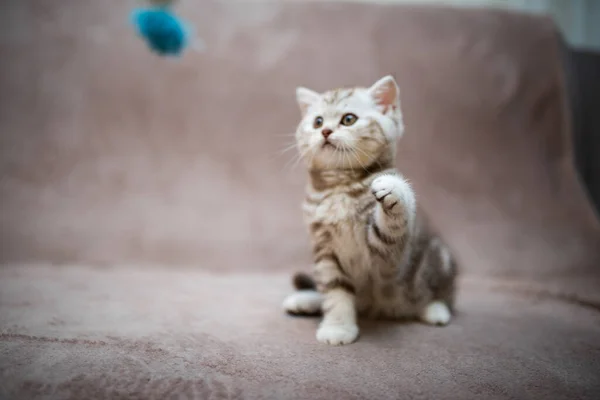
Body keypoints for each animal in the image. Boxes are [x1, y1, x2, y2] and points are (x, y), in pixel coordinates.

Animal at [284, 76, 458, 346]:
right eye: (318, 121)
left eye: (348, 119)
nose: (325, 131)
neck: (340, 186)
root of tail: (381, 309)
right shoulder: (325, 249)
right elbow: (334, 289)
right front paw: (338, 327)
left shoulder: (387, 258)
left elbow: (391, 227)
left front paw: (395, 188)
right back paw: (306, 299)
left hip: (438, 259)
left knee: (441, 293)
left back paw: (435, 309)